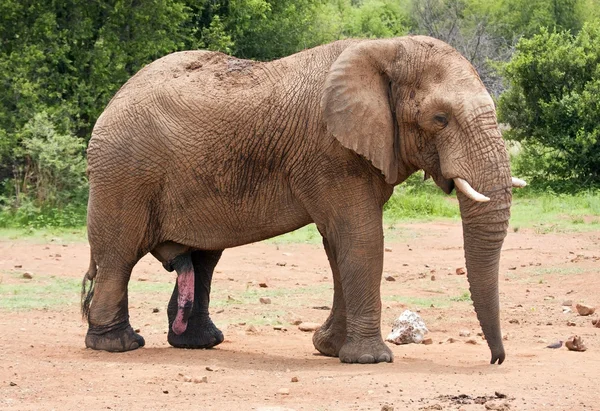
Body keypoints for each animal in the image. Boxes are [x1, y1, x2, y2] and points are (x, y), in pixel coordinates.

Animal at [81, 34, 524, 364]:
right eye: (440, 119)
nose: (496, 359)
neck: (385, 49)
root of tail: (115, 97)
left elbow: (338, 244)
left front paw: (329, 350)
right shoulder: (329, 152)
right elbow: (361, 239)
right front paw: (370, 359)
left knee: (203, 258)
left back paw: (201, 343)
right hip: (123, 171)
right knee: (119, 255)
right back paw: (118, 345)